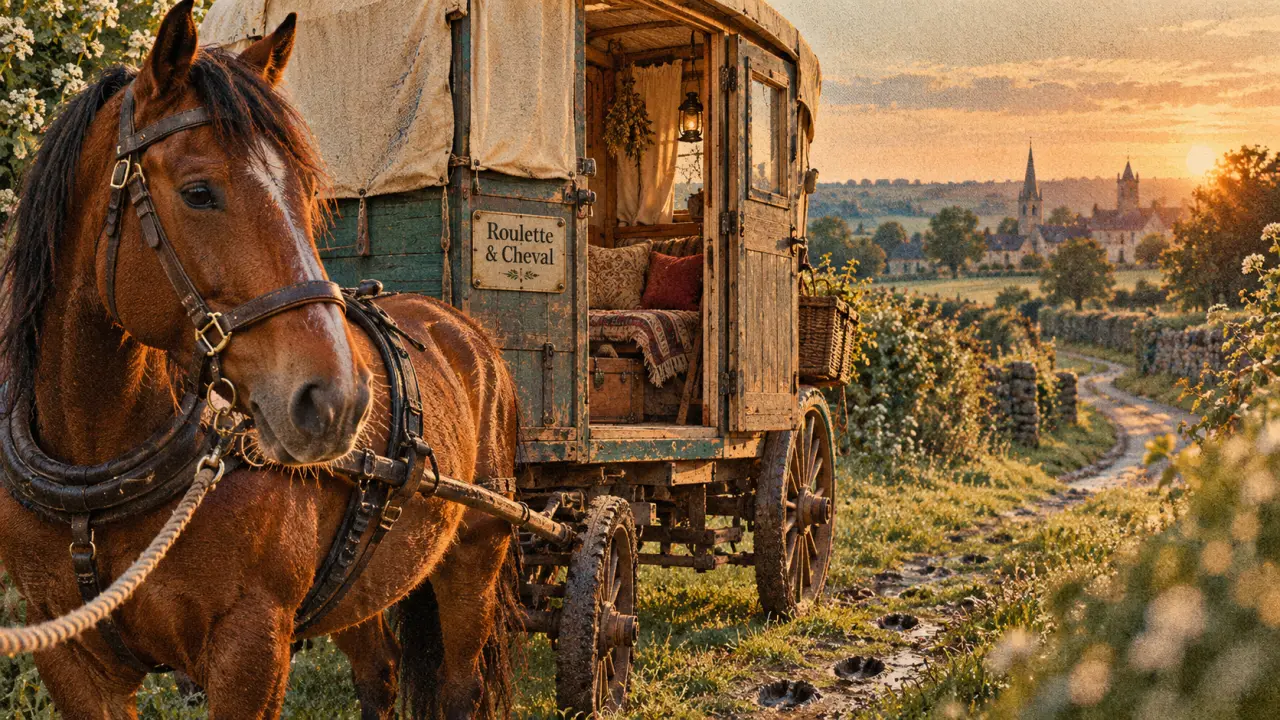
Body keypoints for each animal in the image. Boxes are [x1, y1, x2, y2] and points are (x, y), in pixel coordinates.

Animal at [0, 3, 520, 718]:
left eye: (307, 191)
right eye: (198, 192)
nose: (338, 401)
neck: (96, 478)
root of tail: (467, 329)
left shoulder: (252, 644)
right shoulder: (69, 659)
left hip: (475, 556)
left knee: (461, 685)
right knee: (379, 673)